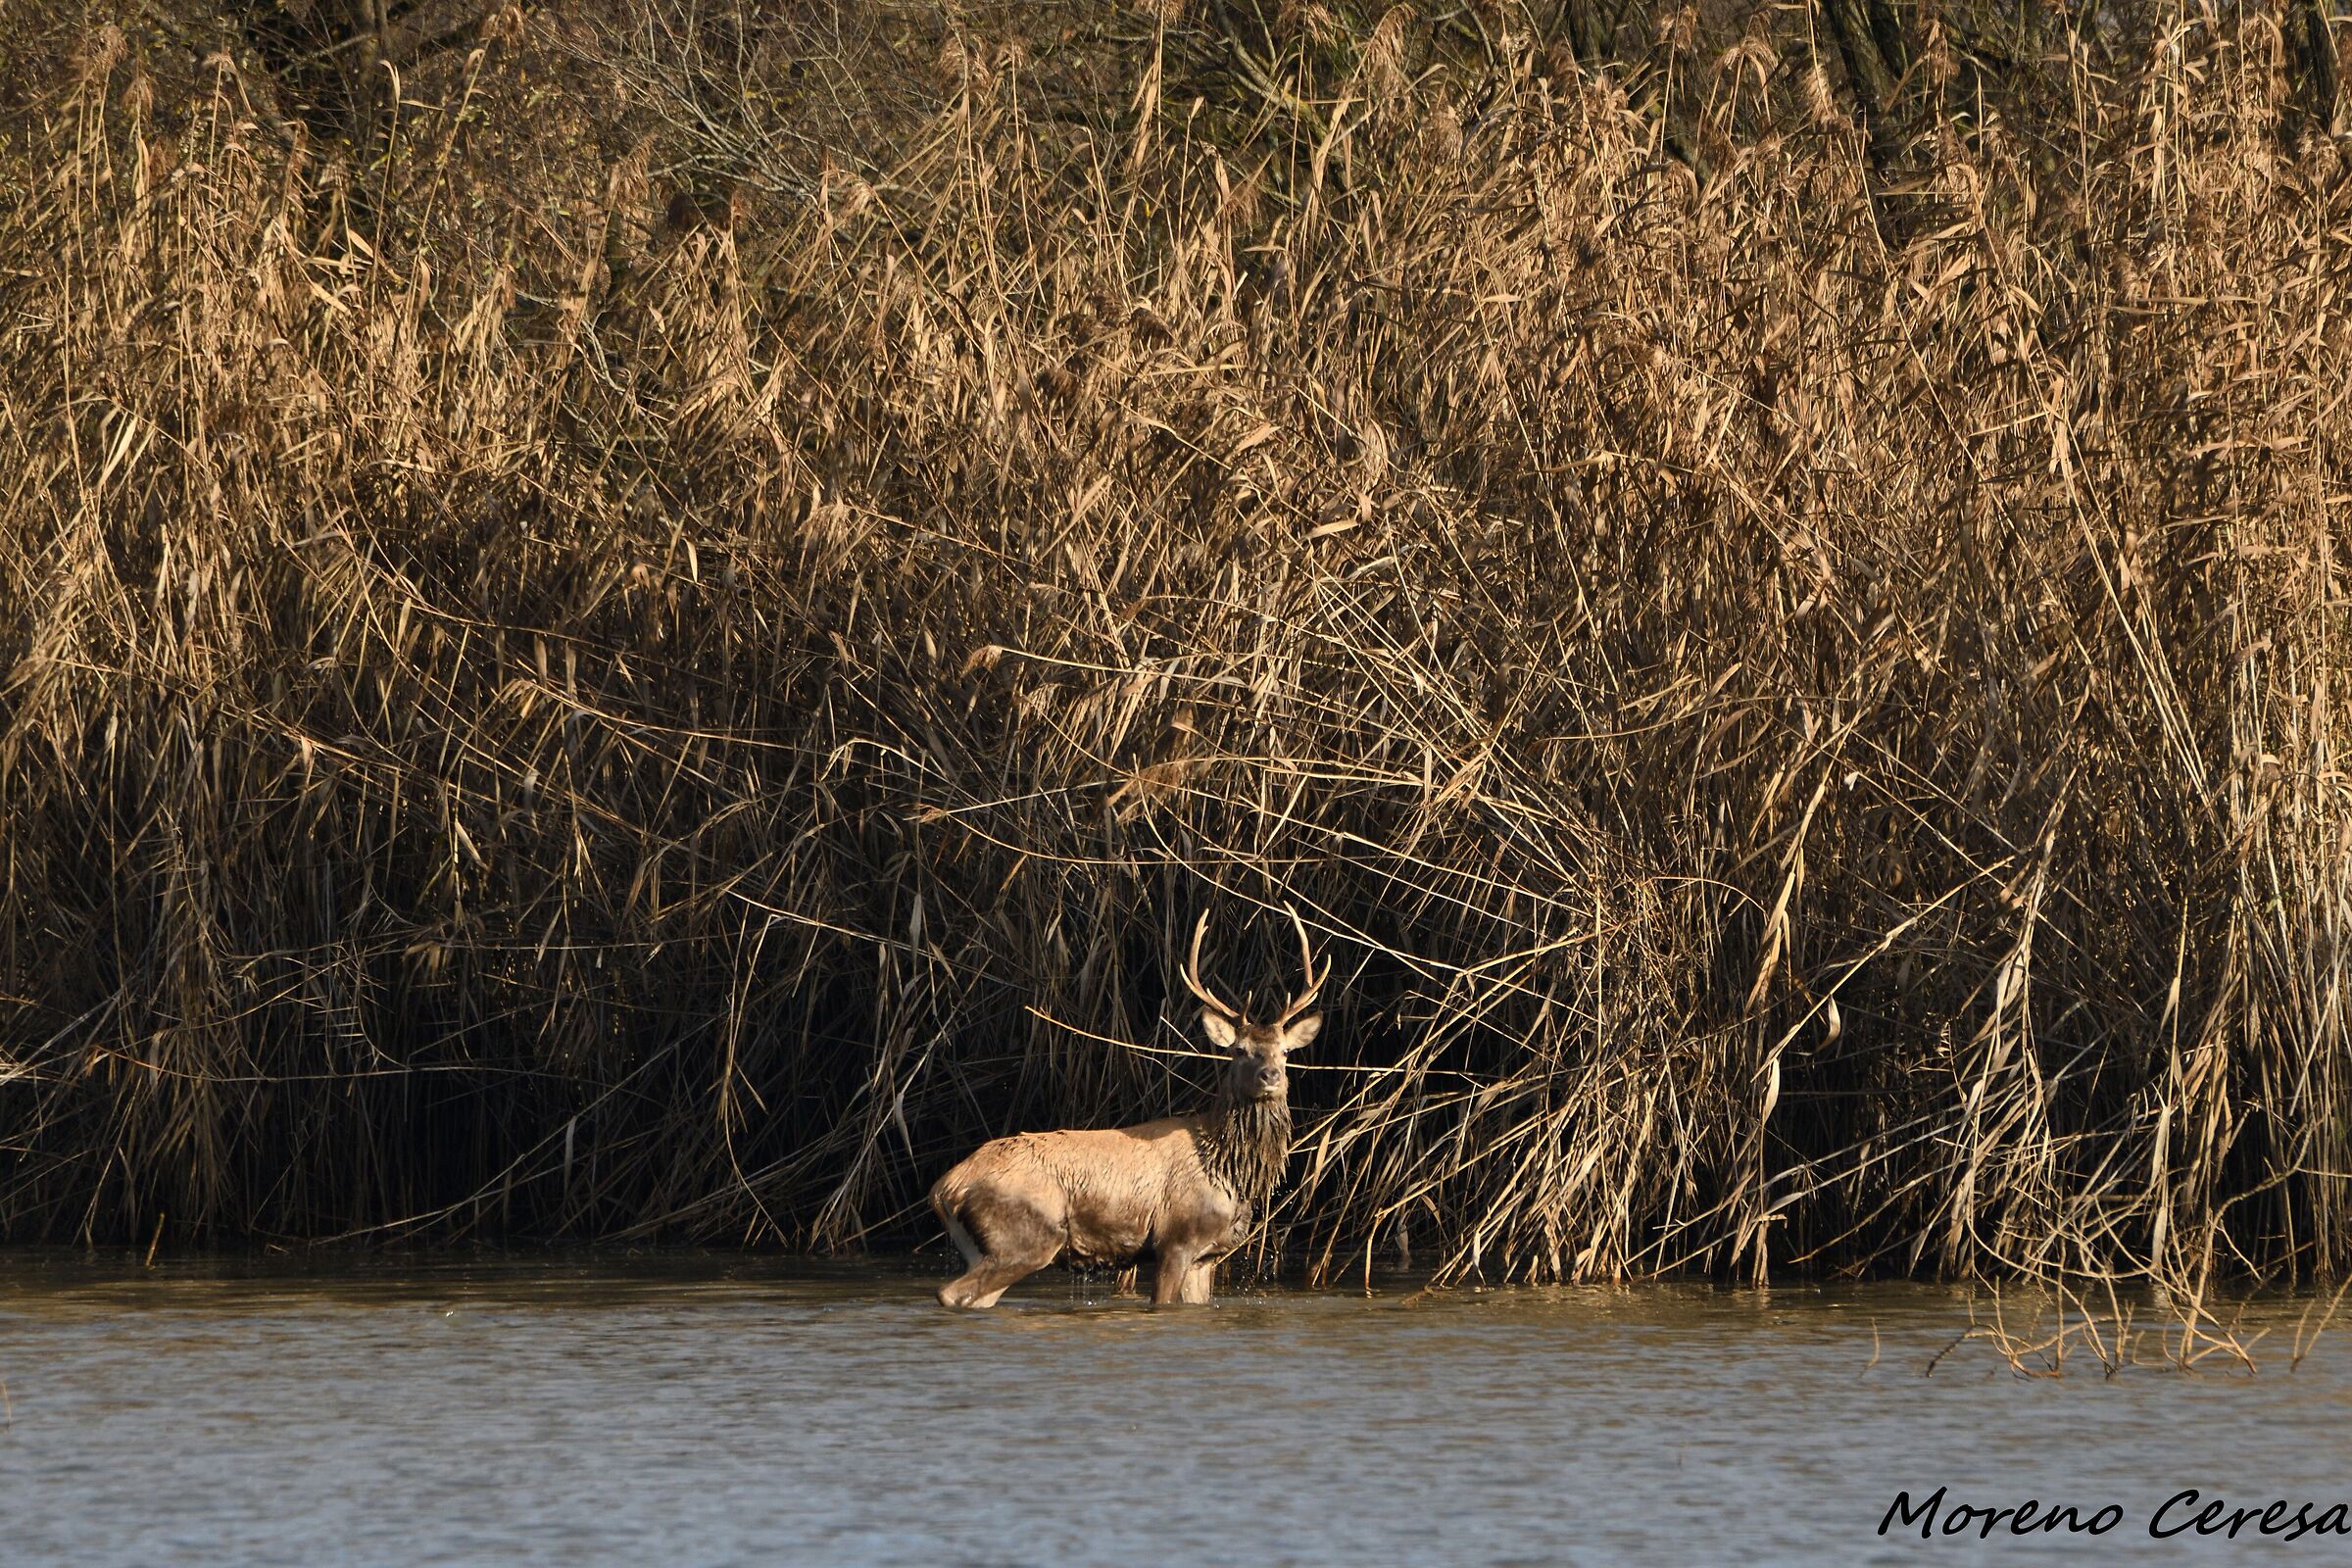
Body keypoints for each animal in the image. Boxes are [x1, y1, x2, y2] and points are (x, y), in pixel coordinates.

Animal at [930, 910, 1324, 1309]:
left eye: (1285, 1051)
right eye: (1240, 1050)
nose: (1270, 1075)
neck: (1227, 1167)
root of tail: (946, 1187)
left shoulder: (1207, 1255)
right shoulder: (1175, 1238)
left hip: (990, 1245)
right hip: (1025, 1235)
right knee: (951, 1292)